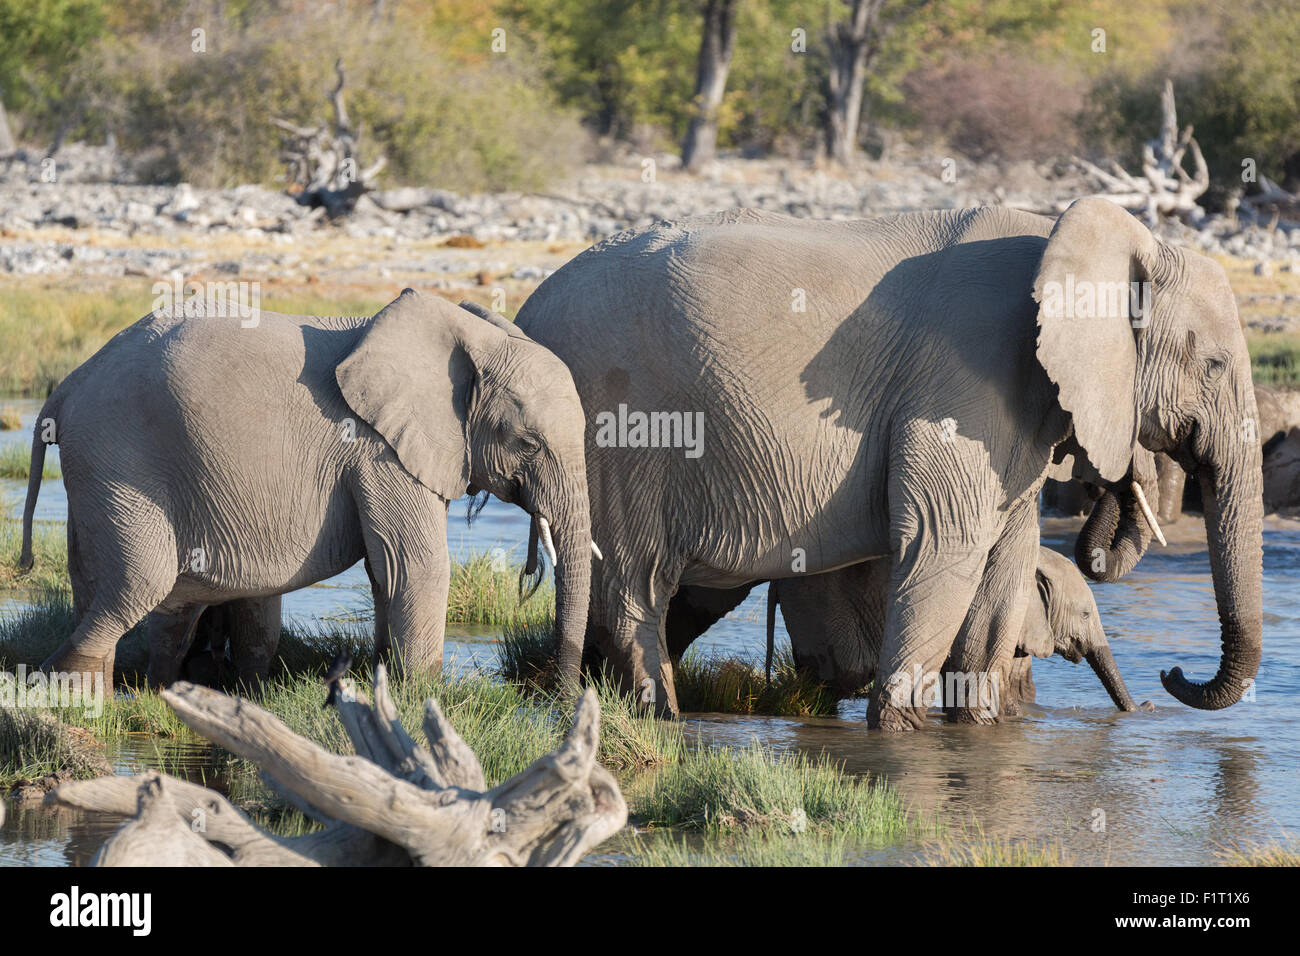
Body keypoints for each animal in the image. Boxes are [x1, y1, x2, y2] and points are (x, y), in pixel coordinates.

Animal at [17, 290, 595, 686]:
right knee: (141, 582)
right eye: (528, 442)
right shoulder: (377, 449)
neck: (468, 335)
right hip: (119, 459)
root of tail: (66, 388)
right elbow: (415, 564)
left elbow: (385, 570)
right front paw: (425, 697)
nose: (562, 693)